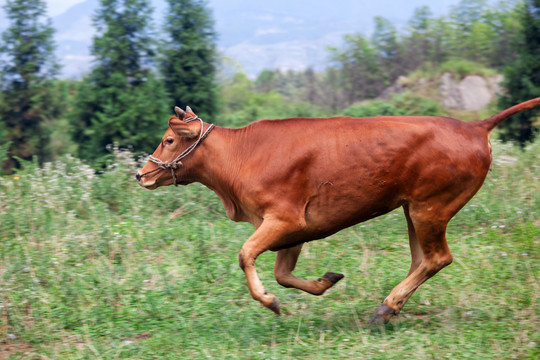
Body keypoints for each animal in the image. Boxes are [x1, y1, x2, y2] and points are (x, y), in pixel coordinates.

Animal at [135, 98, 540, 324]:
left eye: (168, 140)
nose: (141, 174)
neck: (241, 158)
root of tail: (473, 126)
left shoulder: (283, 218)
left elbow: (246, 254)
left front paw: (269, 302)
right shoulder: (294, 230)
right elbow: (284, 274)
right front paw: (325, 281)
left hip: (432, 208)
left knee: (437, 258)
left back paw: (386, 307)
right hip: (413, 210)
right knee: (422, 259)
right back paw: (389, 307)